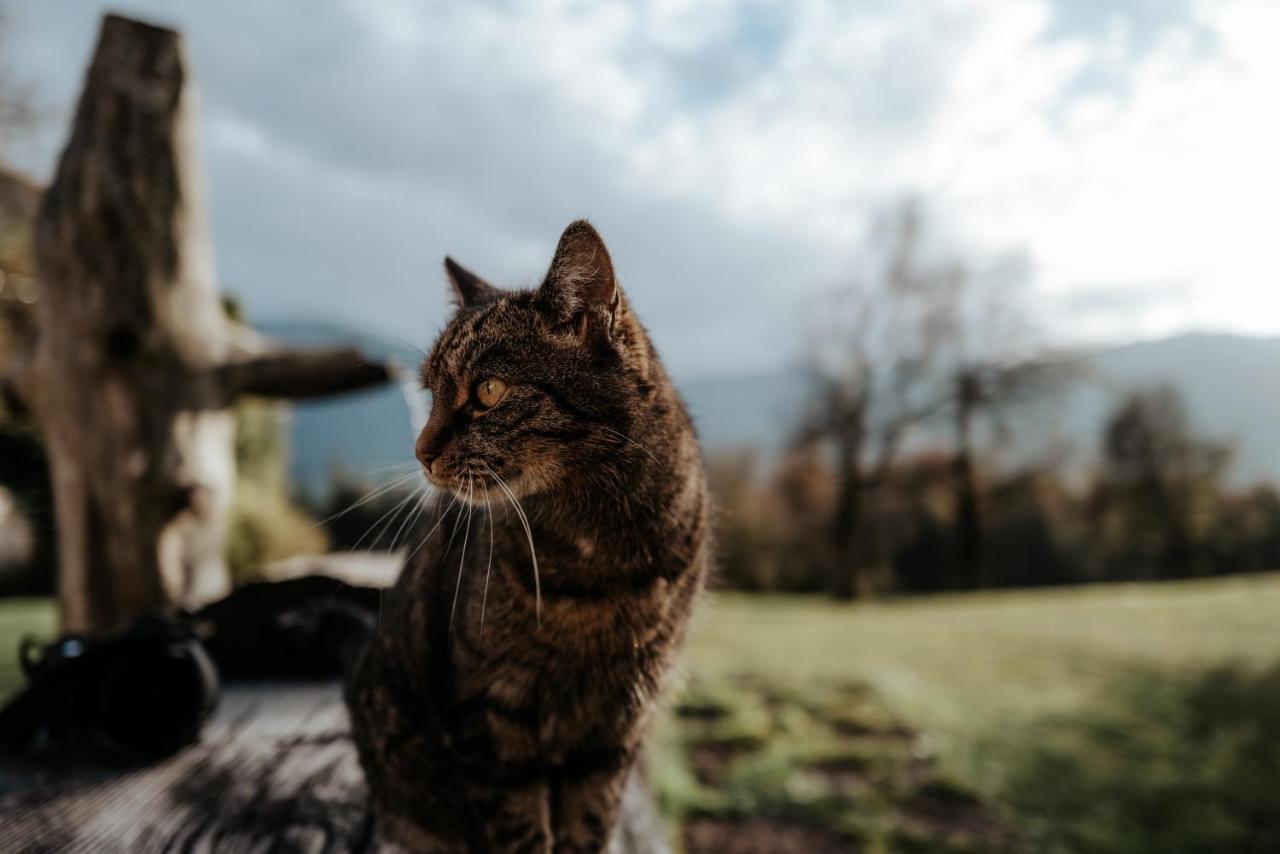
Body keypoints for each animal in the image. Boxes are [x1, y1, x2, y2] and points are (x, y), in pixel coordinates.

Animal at [345, 222, 711, 854]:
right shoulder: (491, 712)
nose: (420, 452)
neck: (595, 552)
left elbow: (588, 824)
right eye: (430, 393)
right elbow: (520, 828)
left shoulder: (616, 726)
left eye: (488, 391)